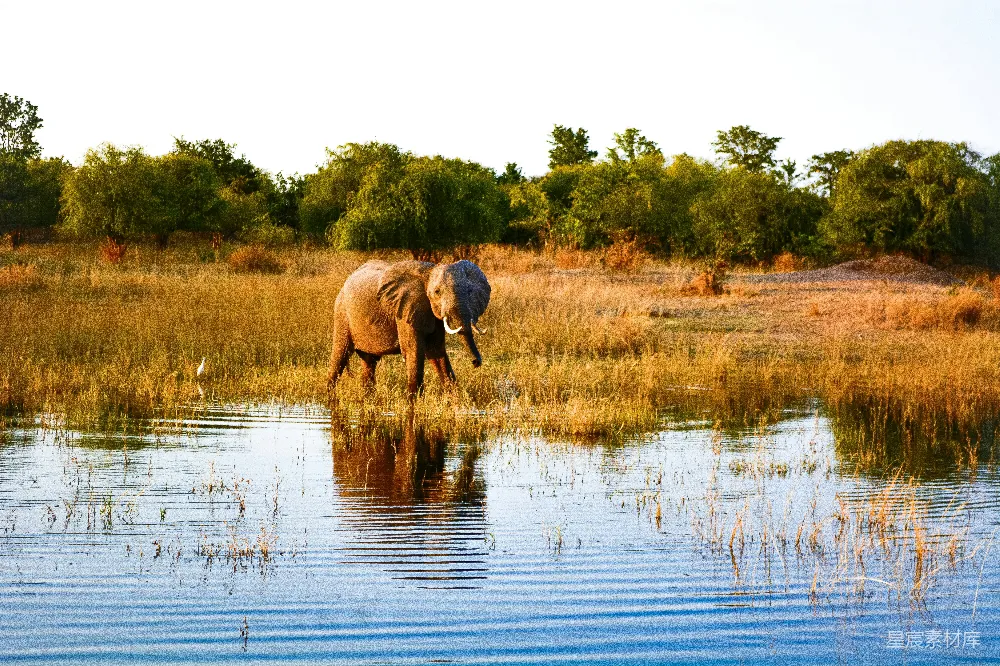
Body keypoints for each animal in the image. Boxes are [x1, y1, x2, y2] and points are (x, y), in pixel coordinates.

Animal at [327, 259, 491, 395]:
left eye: (470, 291)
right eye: (437, 292)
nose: (476, 362)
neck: (428, 273)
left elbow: (436, 352)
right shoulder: (405, 309)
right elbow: (413, 352)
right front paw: (414, 403)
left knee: (369, 362)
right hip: (342, 313)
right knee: (340, 356)